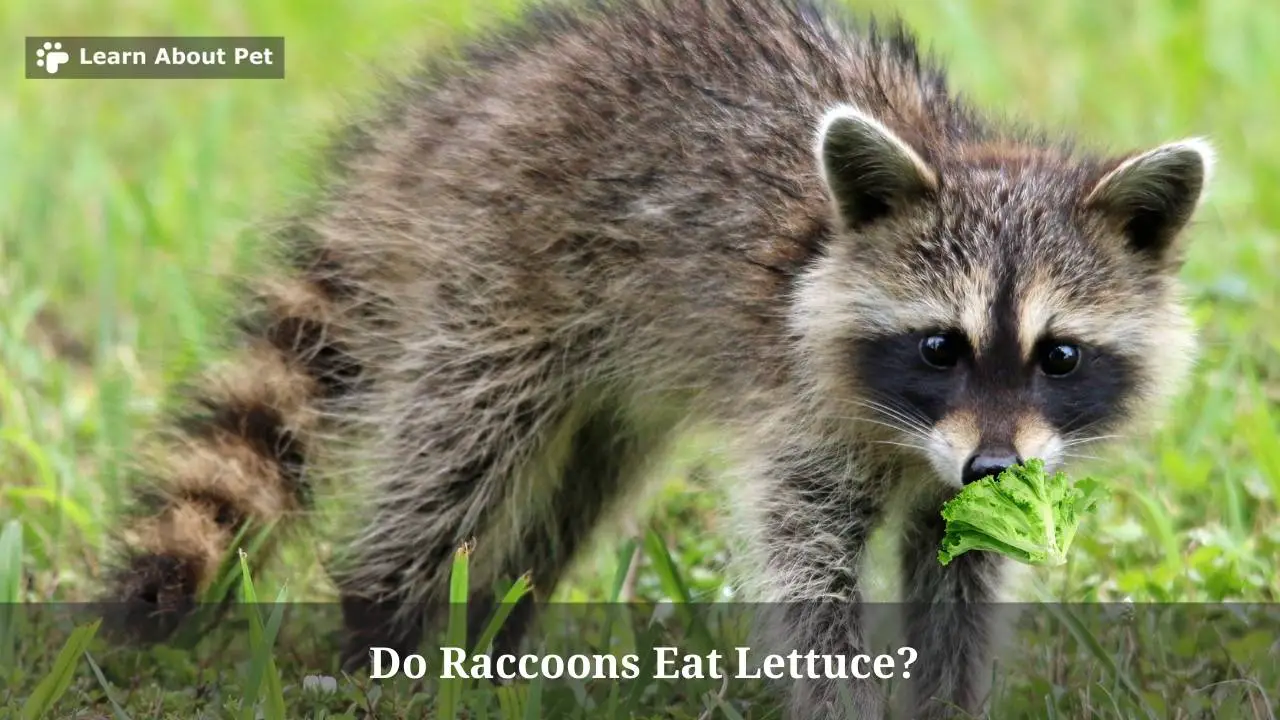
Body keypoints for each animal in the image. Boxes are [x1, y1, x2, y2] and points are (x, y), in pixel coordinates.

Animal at [102, 0, 1213, 717]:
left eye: (1058, 356)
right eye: (939, 346)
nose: (987, 465)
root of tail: (467, 103)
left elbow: (960, 577)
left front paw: (947, 698)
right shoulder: (801, 415)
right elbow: (805, 570)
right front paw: (839, 700)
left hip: (611, 370)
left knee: (573, 492)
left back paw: (494, 630)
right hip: (502, 268)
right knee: (457, 447)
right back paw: (385, 621)